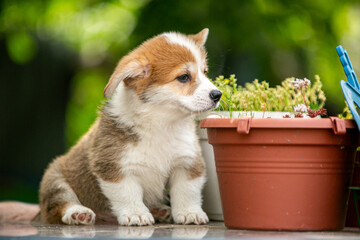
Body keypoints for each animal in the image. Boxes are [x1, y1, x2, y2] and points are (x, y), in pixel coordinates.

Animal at [38, 29, 221, 226]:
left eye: (205, 72)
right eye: (184, 77)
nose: (218, 94)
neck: (161, 123)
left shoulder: (187, 163)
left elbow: (187, 191)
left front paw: (190, 213)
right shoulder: (115, 168)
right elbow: (128, 194)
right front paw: (137, 214)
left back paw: (158, 210)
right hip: (54, 180)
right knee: (58, 206)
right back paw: (78, 213)